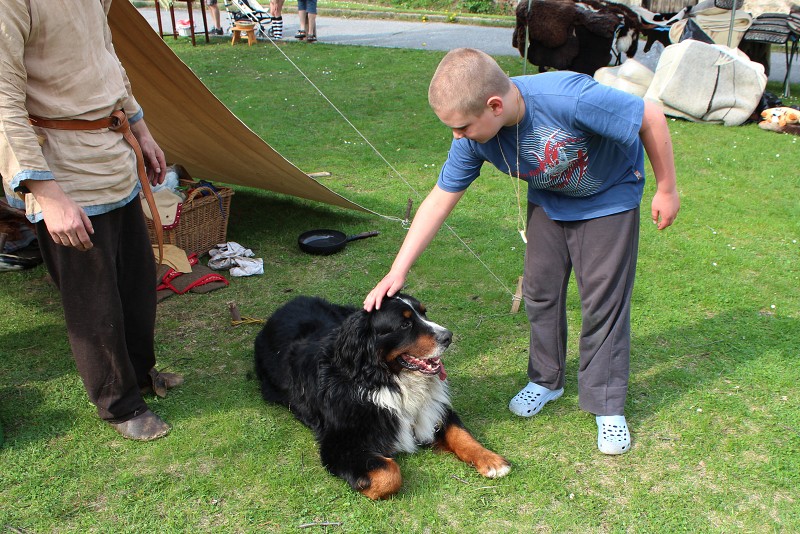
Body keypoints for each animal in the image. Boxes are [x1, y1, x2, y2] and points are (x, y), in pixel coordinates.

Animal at [253, 296, 510, 500]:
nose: (448, 336)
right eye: (405, 324)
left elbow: (462, 435)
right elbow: (390, 473)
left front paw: (491, 460)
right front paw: (365, 486)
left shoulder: (433, 409)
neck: (385, 380)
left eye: (424, 313)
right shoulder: (339, 444)